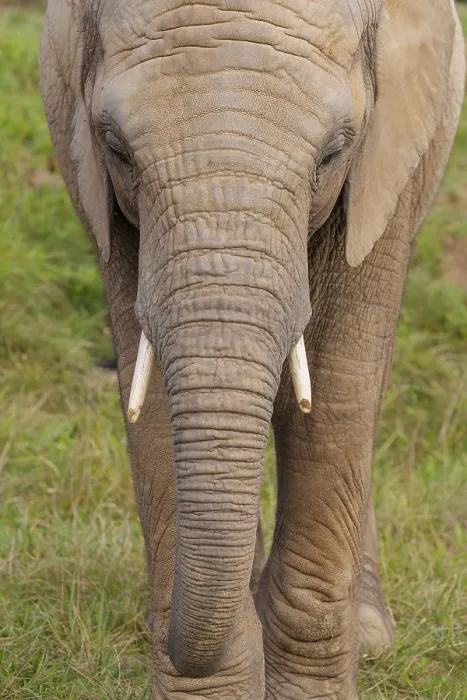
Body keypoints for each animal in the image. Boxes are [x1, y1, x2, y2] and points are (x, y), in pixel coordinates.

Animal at [39, 0, 464, 698]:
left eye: (334, 151)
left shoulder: (387, 165)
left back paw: (370, 635)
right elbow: (153, 403)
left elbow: (338, 392)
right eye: (117, 149)